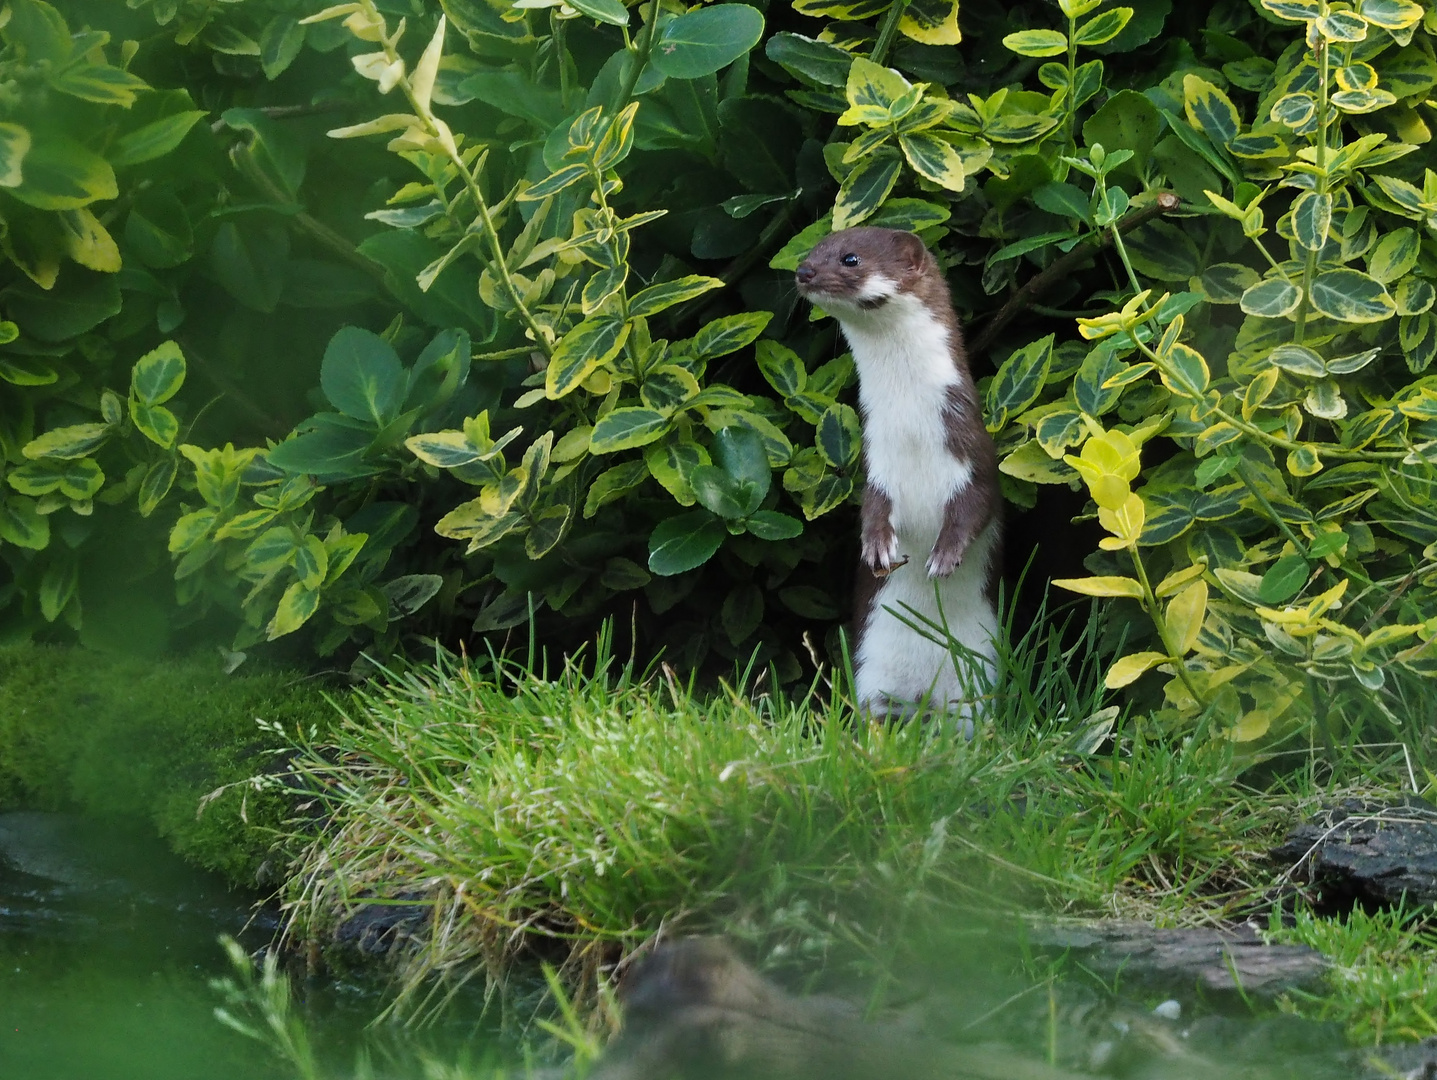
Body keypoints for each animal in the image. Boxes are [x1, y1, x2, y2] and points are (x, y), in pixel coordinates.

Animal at [798, 224, 1000, 720]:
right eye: (812, 249)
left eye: (850, 258)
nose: (803, 271)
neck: (911, 433)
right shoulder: (877, 462)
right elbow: (872, 508)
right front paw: (876, 547)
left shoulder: (973, 453)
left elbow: (976, 506)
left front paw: (945, 555)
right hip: (872, 670)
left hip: (980, 677)